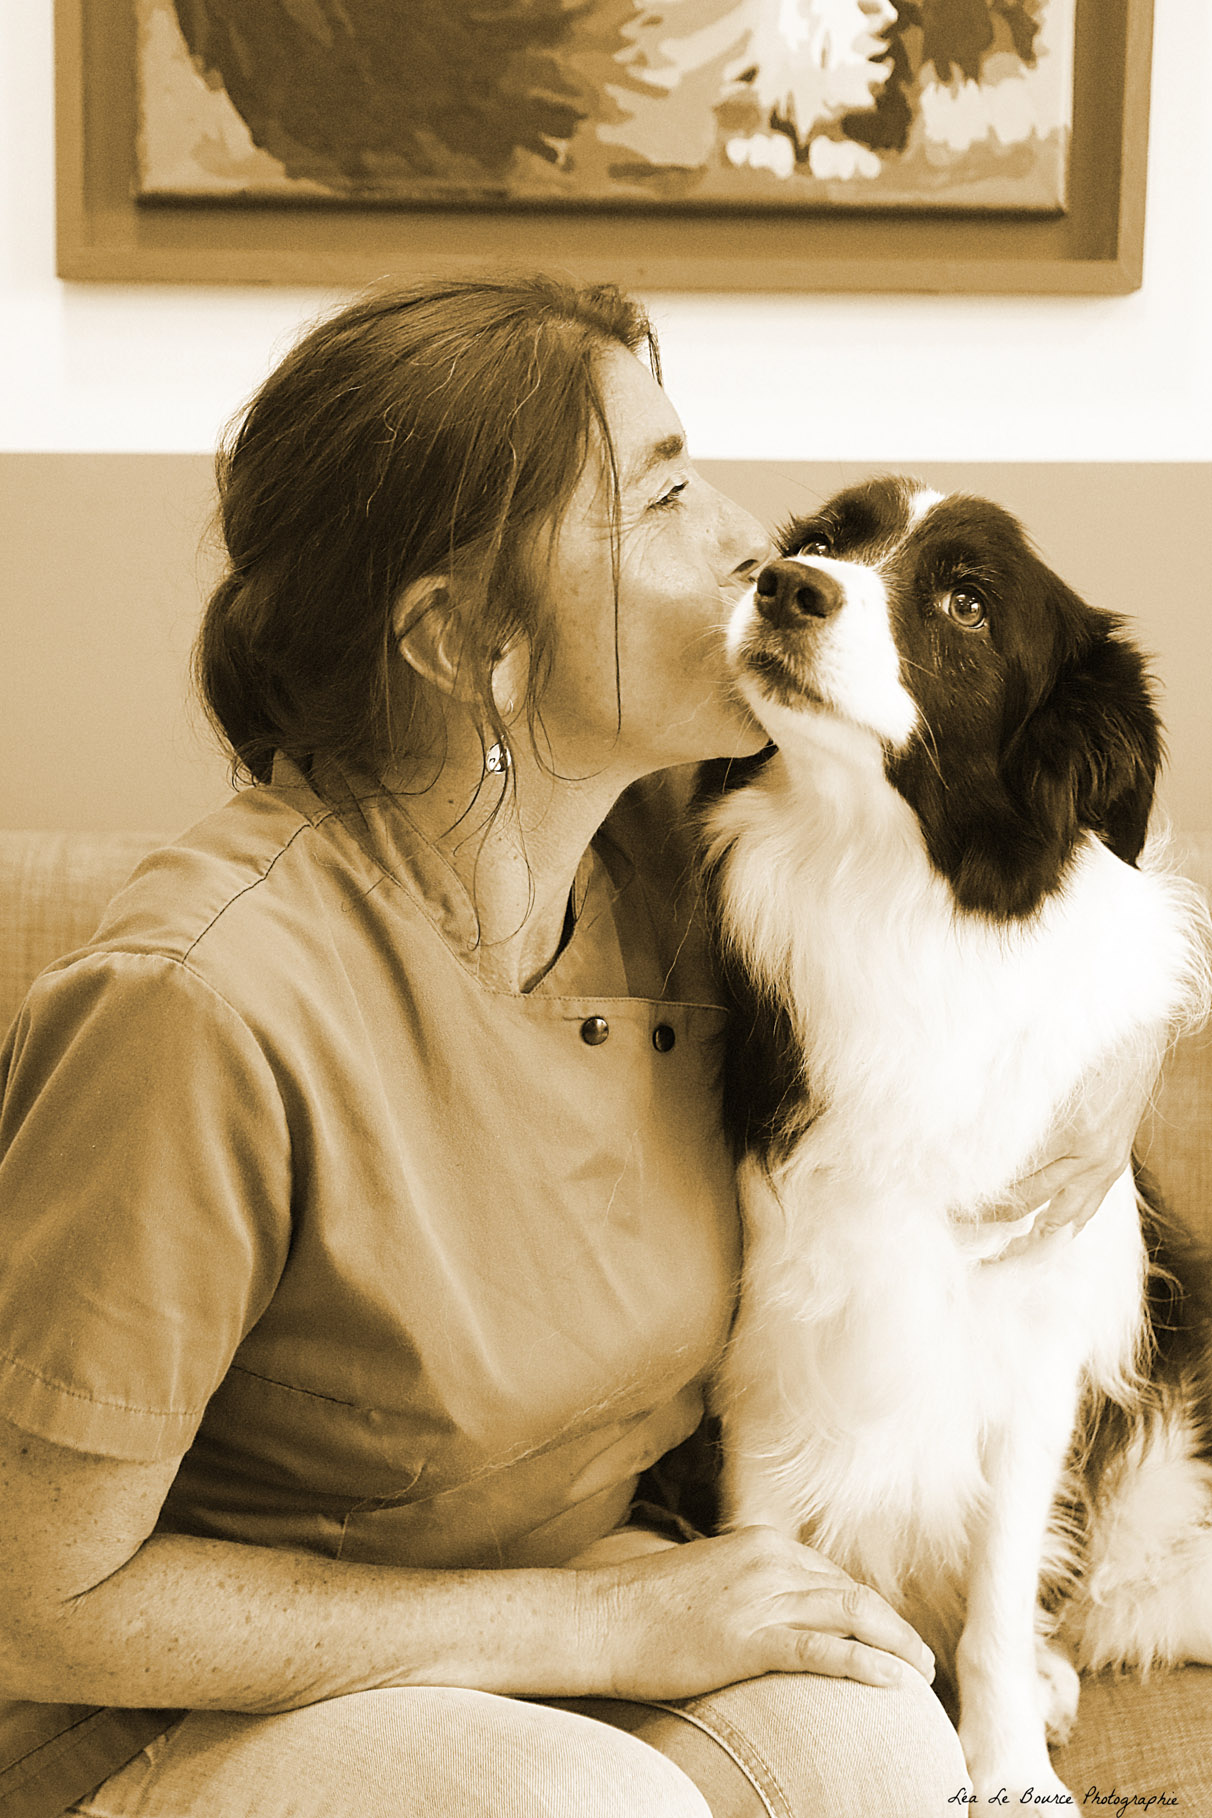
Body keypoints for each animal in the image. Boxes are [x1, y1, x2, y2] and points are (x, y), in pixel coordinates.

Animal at [701, 479, 1212, 1803]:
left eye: (968, 605)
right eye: (829, 539)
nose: (786, 586)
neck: (891, 894)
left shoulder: (1035, 1354)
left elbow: (995, 1594)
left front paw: (1010, 1766)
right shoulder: (771, 1348)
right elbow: (760, 1540)